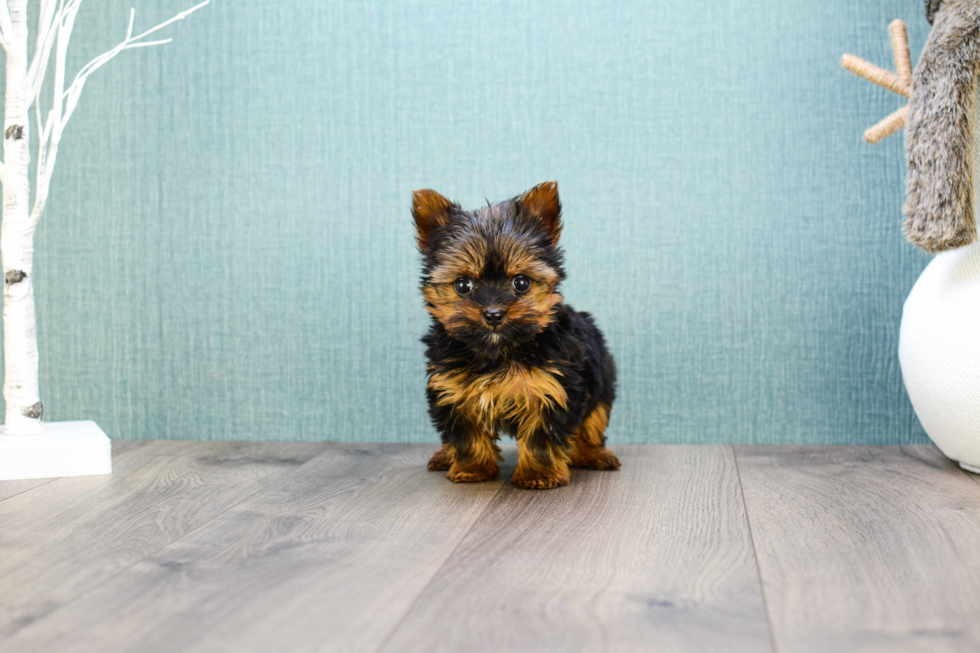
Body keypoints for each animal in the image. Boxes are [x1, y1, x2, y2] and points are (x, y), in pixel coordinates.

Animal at [414, 181, 620, 486]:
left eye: (521, 283)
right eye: (463, 285)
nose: (493, 314)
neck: (499, 351)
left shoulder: (552, 388)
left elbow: (542, 436)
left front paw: (539, 474)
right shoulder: (452, 391)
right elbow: (465, 435)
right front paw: (472, 468)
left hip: (602, 383)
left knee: (593, 423)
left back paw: (592, 454)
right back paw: (444, 457)